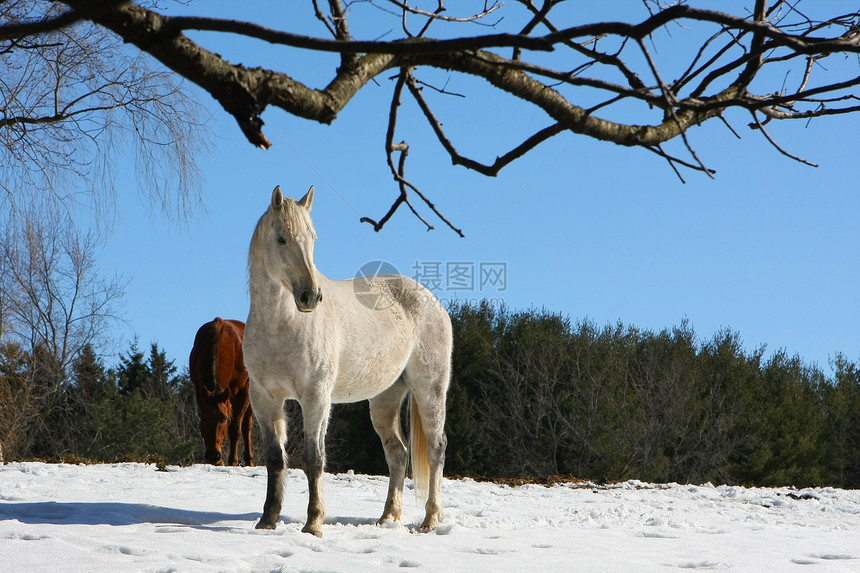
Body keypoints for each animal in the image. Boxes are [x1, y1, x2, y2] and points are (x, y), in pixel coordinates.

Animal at [190, 318, 254, 464]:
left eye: (224, 418)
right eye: (204, 418)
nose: (213, 456)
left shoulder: (244, 391)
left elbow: (235, 429)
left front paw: (233, 461)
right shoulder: (200, 391)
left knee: (247, 426)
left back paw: (249, 460)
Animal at [244, 184, 450, 536]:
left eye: (313, 238)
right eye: (281, 238)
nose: (310, 296)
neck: (280, 325)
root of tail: (433, 302)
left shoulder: (315, 397)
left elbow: (313, 459)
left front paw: (313, 524)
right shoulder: (264, 398)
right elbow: (274, 458)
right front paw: (267, 521)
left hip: (430, 390)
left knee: (436, 448)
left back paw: (430, 520)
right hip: (385, 398)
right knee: (398, 453)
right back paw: (387, 518)